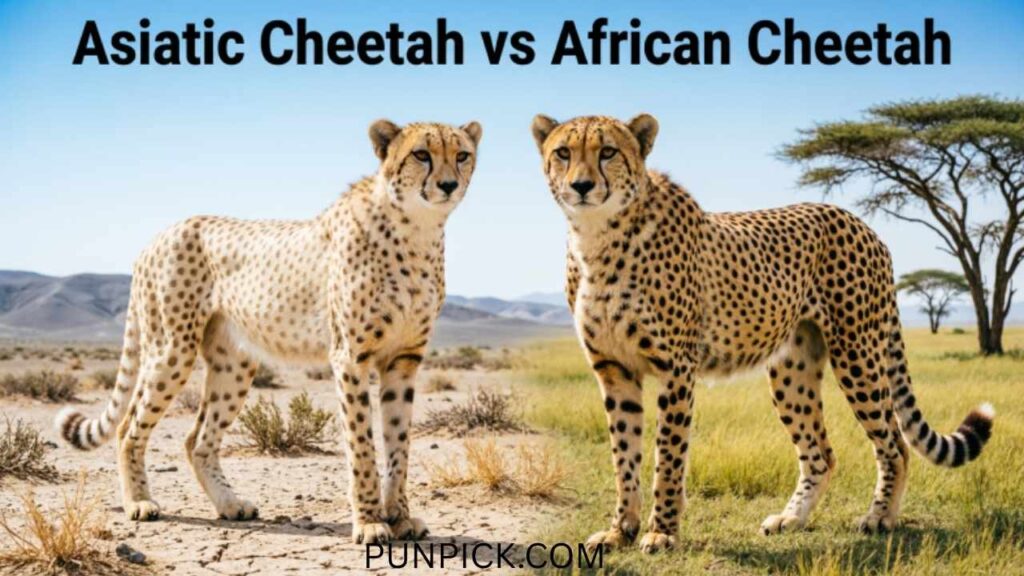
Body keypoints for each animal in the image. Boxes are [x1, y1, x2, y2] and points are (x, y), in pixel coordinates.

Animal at [56, 118, 482, 546]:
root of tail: (161, 234)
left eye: (462, 154)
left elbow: (399, 443)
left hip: (234, 365)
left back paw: (229, 505)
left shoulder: (403, 360)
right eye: (421, 154)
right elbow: (361, 444)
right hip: (171, 350)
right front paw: (369, 521)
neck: (417, 230)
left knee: (197, 439)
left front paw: (399, 516)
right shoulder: (350, 359)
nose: (448, 185)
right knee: (128, 426)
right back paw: (139, 503)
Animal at [531, 113, 994, 554]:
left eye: (608, 151)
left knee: (894, 443)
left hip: (858, 353)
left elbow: (668, 456)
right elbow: (623, 456)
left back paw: (880, 517)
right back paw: (791, 518)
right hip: (792, 370)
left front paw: (661, 533)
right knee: (821, 453)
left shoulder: (675, 368)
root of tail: (858, 221)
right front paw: (620, 531)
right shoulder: (614, 370)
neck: (597, 236)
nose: (582, 185)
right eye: (564, 153)